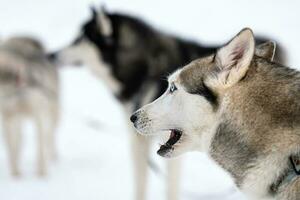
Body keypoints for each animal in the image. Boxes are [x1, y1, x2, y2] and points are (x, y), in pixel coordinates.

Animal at [0, 36, 59, 176]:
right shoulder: (8, 118)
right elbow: (12, 148)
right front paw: (15, 174)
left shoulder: (40, 115)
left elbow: (41, 147)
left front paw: (42, 174)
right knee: (20, 140)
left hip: (54, 112)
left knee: (50, 137)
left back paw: (53, 157)